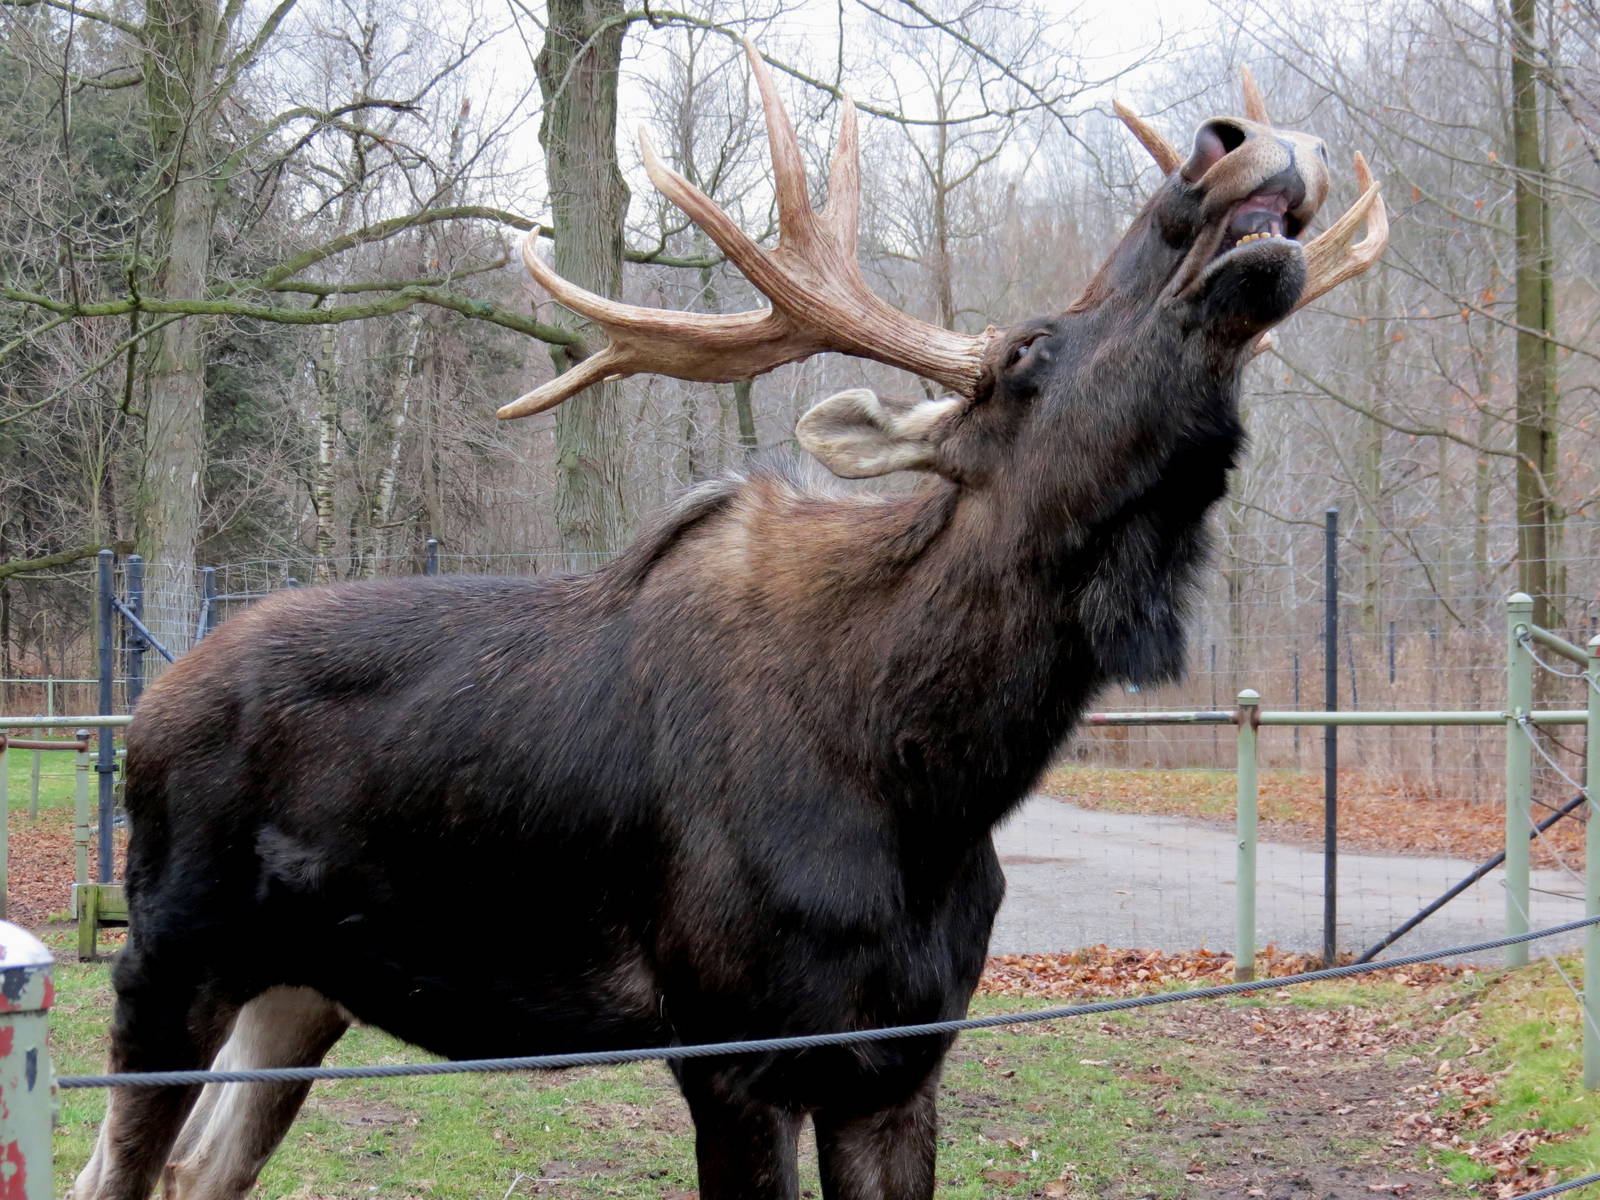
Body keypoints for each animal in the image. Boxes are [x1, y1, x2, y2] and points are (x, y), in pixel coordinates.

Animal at [71, 43, 1385, 1200]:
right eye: (1026, 350)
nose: (1229, 146)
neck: (933, 776)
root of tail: (149, 708)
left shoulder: (897, 1066)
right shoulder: (731, 1055)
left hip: (303, 987)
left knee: (198, 1170)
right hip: (168, 960)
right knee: (116, 1170)